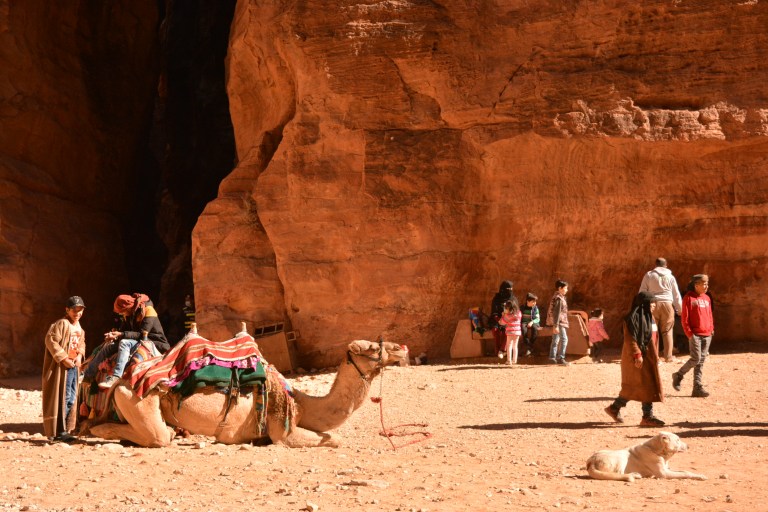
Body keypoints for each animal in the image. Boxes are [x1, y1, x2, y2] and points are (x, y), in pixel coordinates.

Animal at [85, 337, 408, 448]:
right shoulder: (282, 430)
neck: (300, 403)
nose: (401, 348)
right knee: (158, 436)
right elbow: (334, 439)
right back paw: (102, 430)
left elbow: (330, 435)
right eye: (371, 348)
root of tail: (120, 380)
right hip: (139, 398)